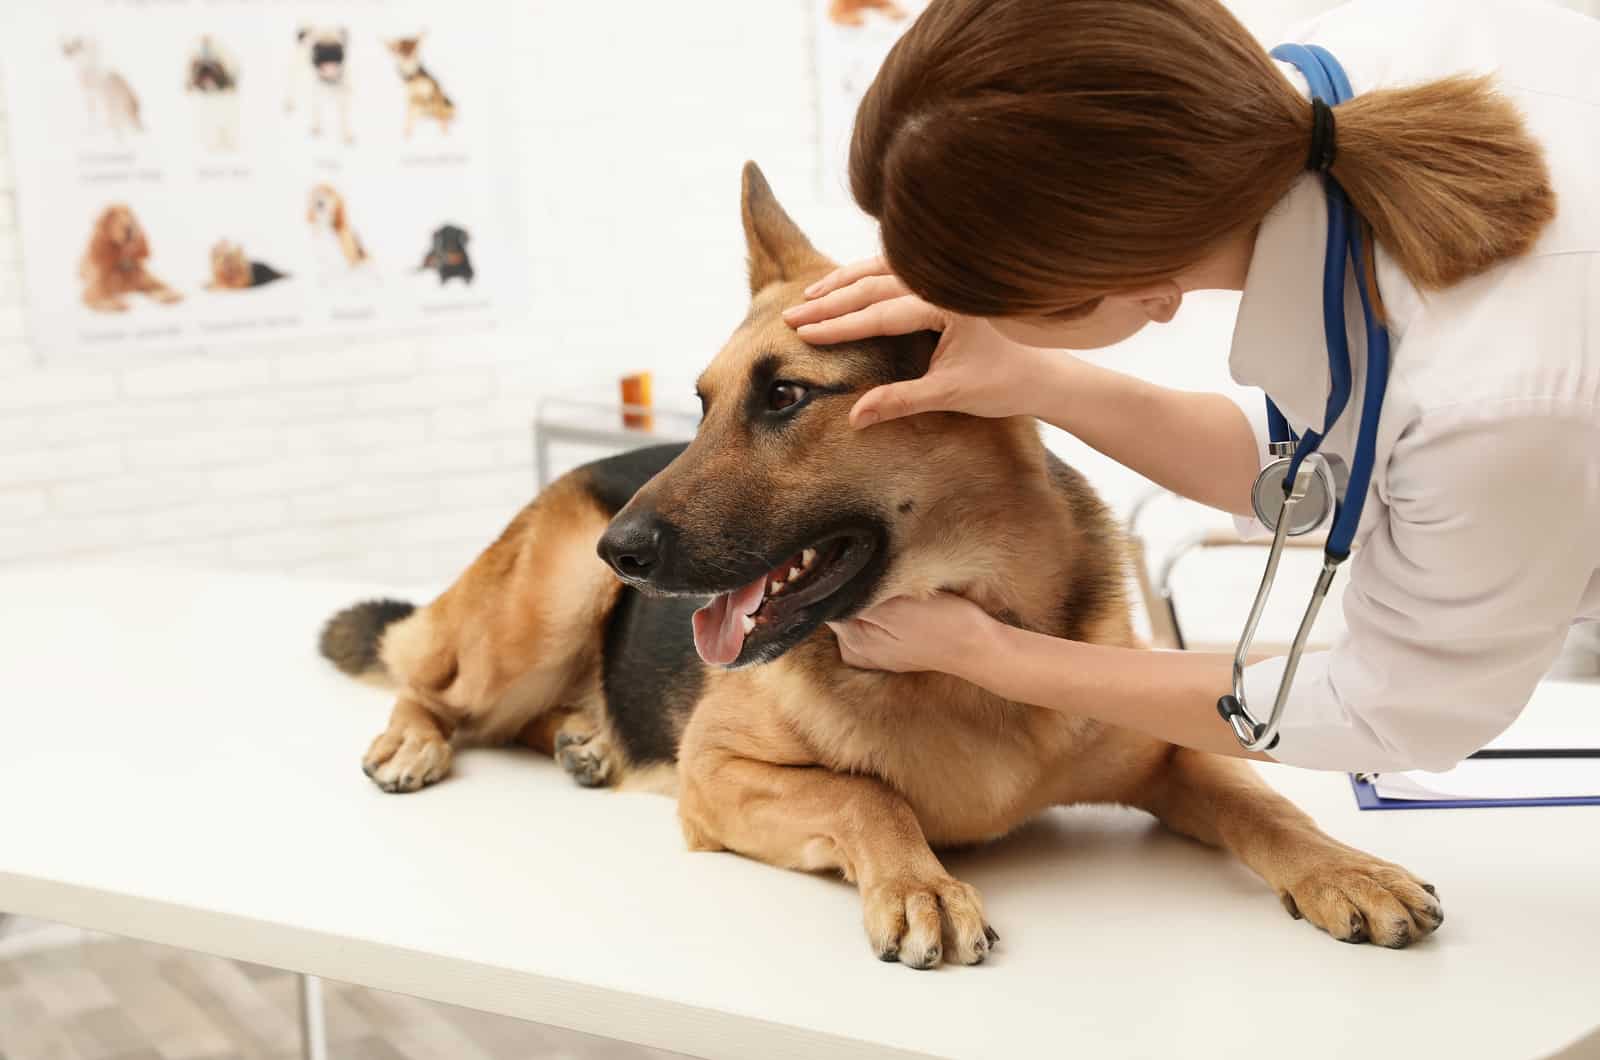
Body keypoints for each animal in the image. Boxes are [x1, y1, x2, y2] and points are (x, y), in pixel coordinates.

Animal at [318, 161, 1446, 967]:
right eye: (702, 403)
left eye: (784, 396)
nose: (623, 550)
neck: (960, 661)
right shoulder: (718, 774)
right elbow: (868, 795)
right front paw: (921, 884)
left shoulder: (1170, 750)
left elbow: (1264, 797)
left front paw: (1347, 867)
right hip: (544, 606)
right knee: (432, 680)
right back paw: (420, 740)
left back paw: (585, 739)